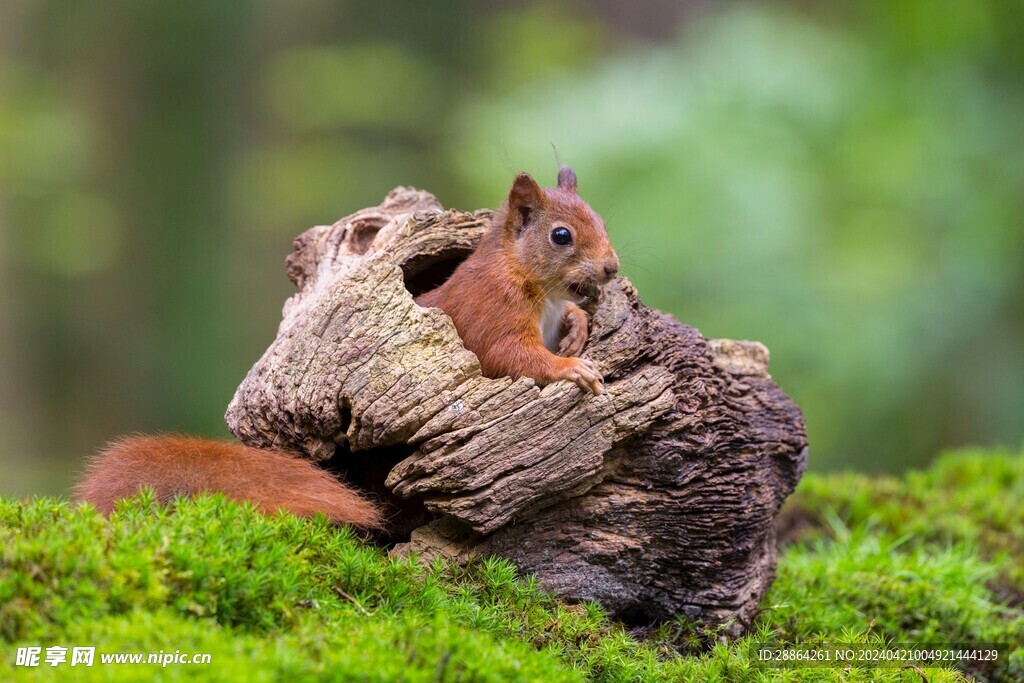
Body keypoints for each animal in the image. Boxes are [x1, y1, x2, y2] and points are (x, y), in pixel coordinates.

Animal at [74, 166, 614, 528]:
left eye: (601, 219)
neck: (534, 282)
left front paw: (577, 325)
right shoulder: (492, 313)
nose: (611, 268)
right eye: (561, 235)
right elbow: (511, 357)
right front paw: (571, 368)